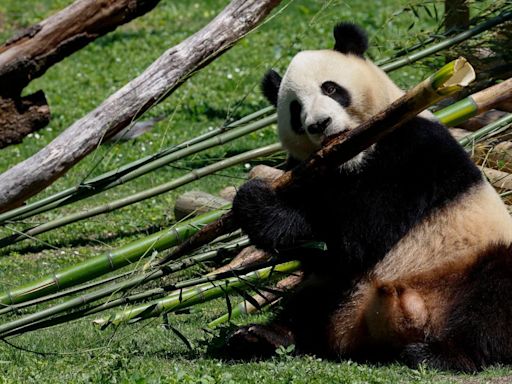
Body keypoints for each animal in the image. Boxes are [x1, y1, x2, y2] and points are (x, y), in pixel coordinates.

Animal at [227, 22, 512, 370]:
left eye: (331, 89)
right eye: (295, 109)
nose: (319, 124)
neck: (349, 157)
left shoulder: (414, 150)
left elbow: (361, 232)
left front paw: (256, 202)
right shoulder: (306, 170)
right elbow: (324, 241)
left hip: (467, 262)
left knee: (494, 300)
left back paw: (441, 353)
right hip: (341, 289)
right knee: (311, 297)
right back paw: (262, 336)